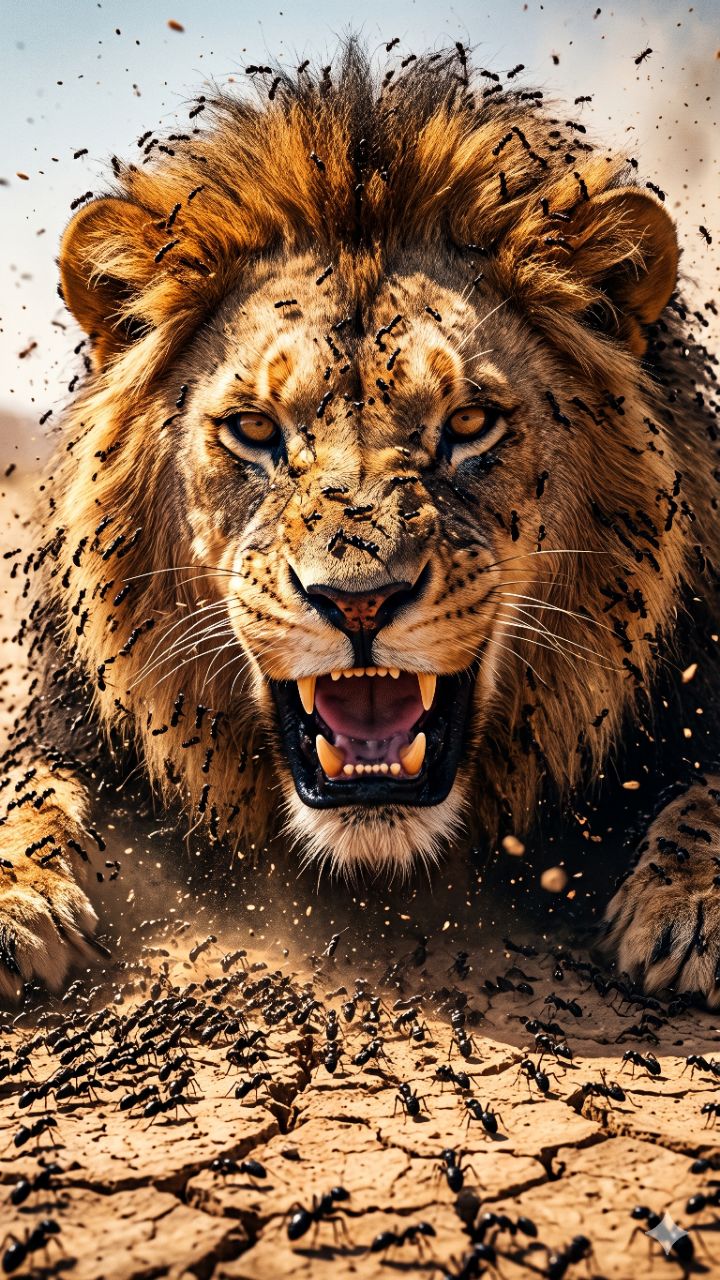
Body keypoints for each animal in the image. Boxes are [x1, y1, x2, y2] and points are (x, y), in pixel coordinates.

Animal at [2, 43, 719, 1006]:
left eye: (468, 424)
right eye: (255, 430)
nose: (360, 603)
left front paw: (694, 905)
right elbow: (26, 783)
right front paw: (17, 898)